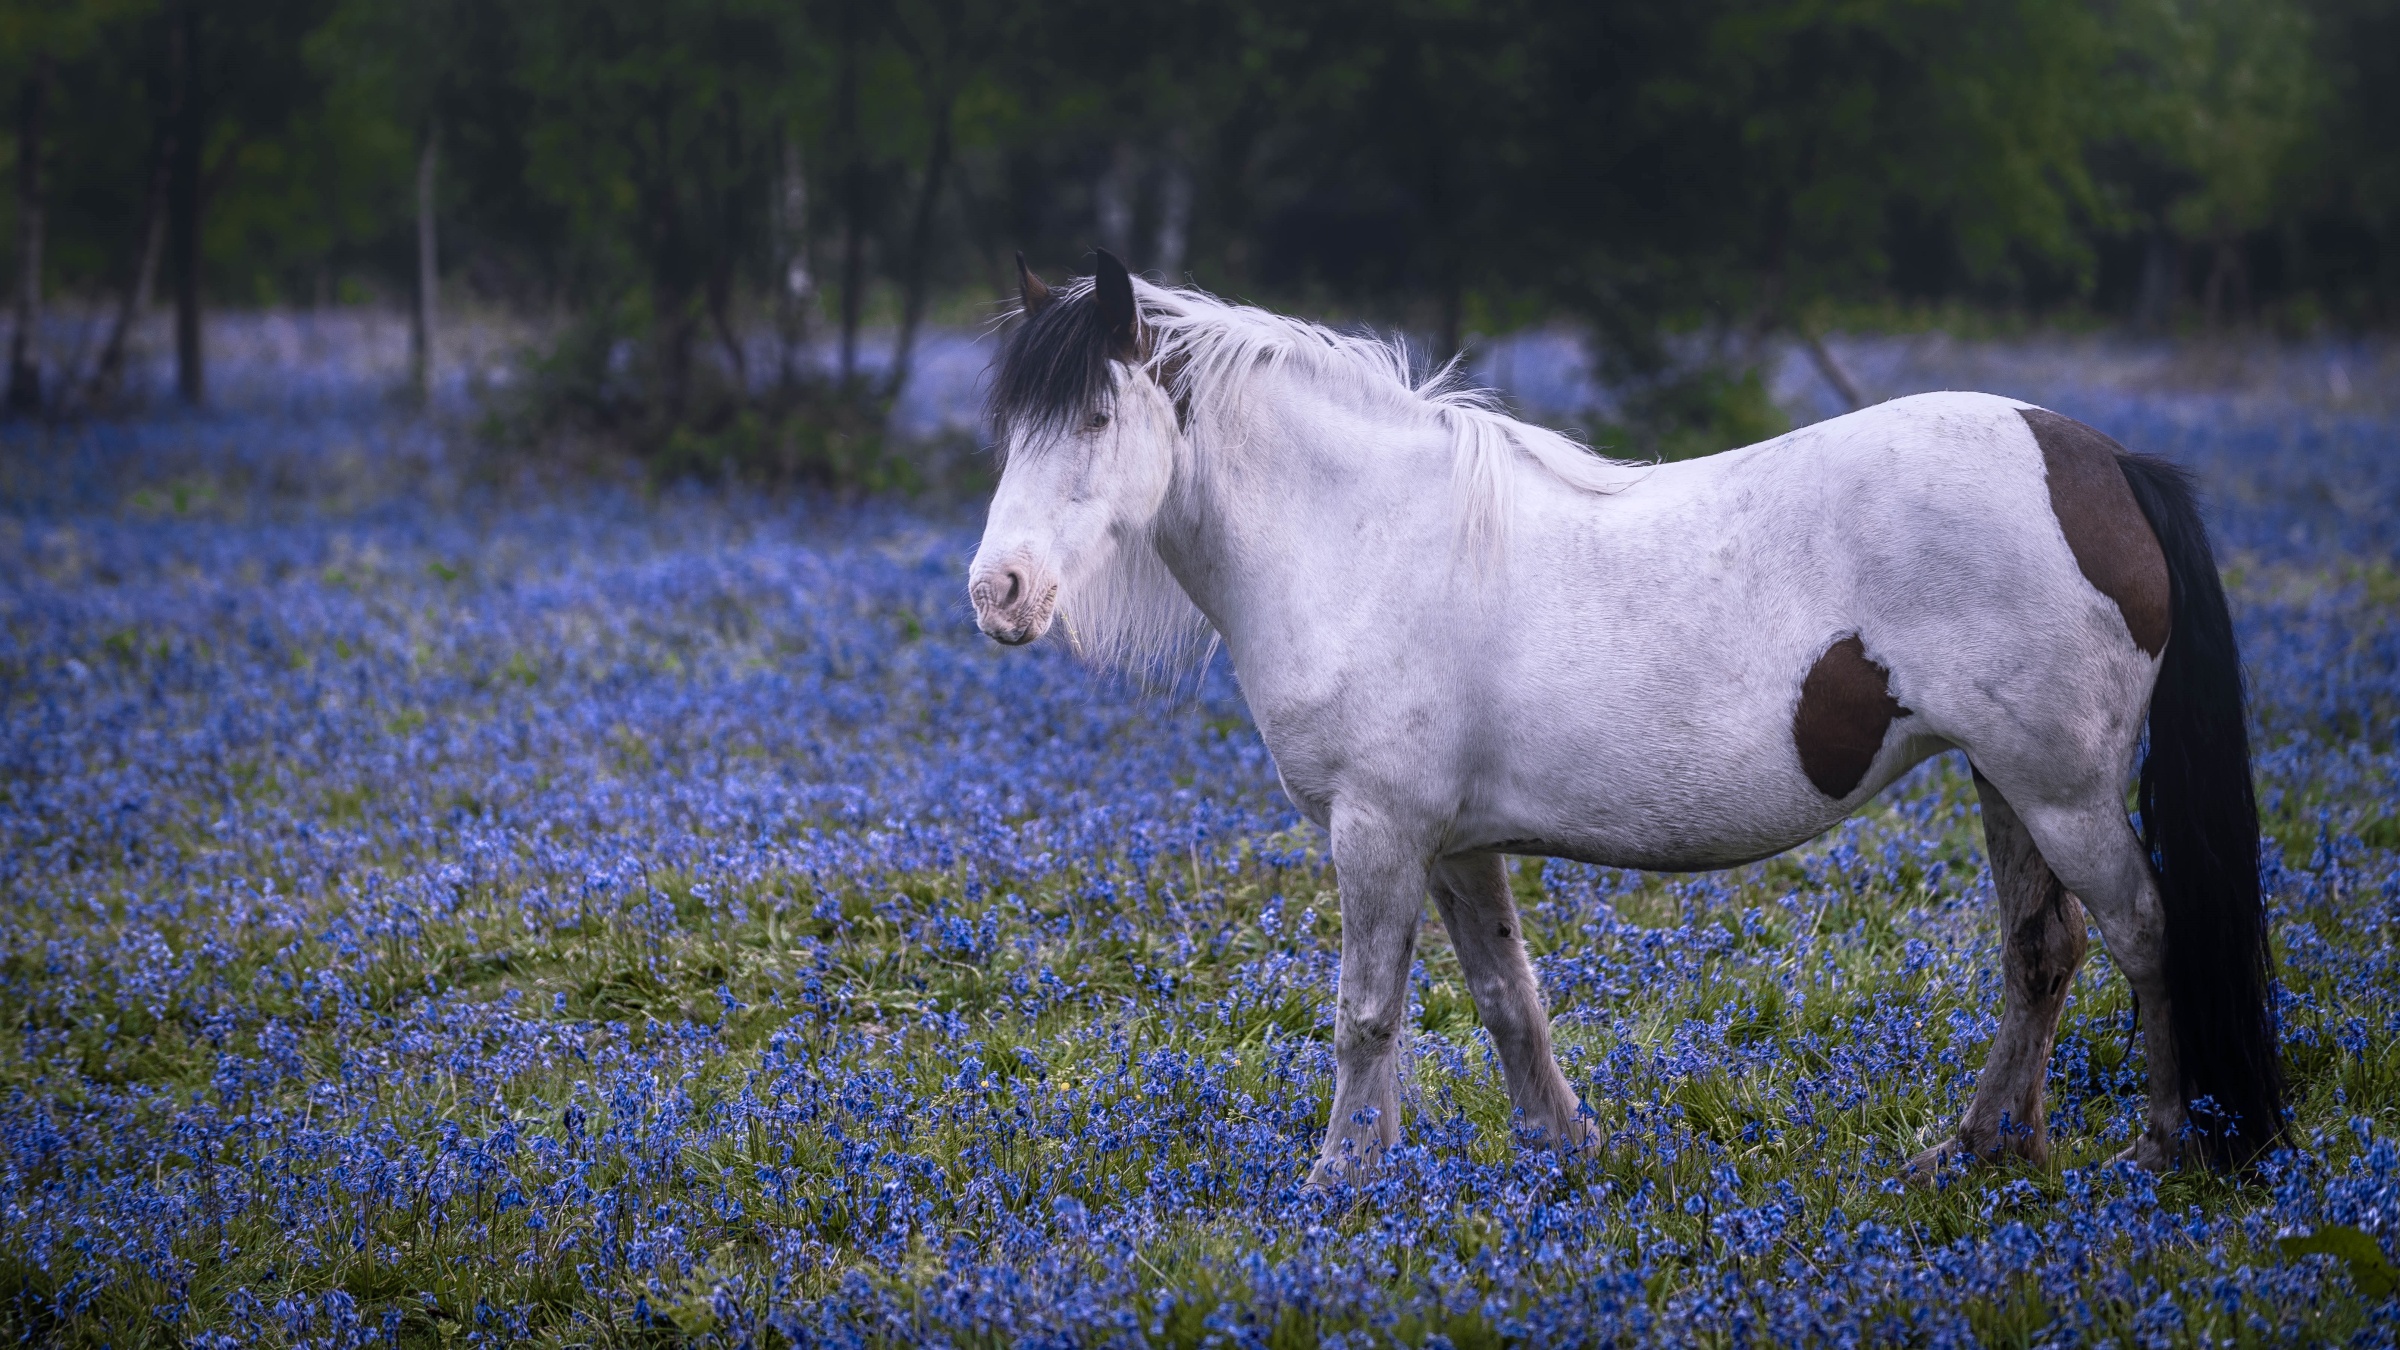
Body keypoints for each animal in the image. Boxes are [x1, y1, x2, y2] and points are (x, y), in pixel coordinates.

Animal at [964, 247, 2275, 1181]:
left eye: (1094, 420)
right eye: (1011, 429)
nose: (998, 593)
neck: (1364, 538)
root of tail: (2101, 462)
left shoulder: (1377, 832)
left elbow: (1366, 1014)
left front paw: (1337, 1183)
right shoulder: (1456, 846)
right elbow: (1508, 1001)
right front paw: (1560, 1150)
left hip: (2063, 791)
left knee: (2144, 932)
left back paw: (2160, 1144)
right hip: (2005, 782)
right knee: (2042, 951)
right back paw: (1984, 1147)